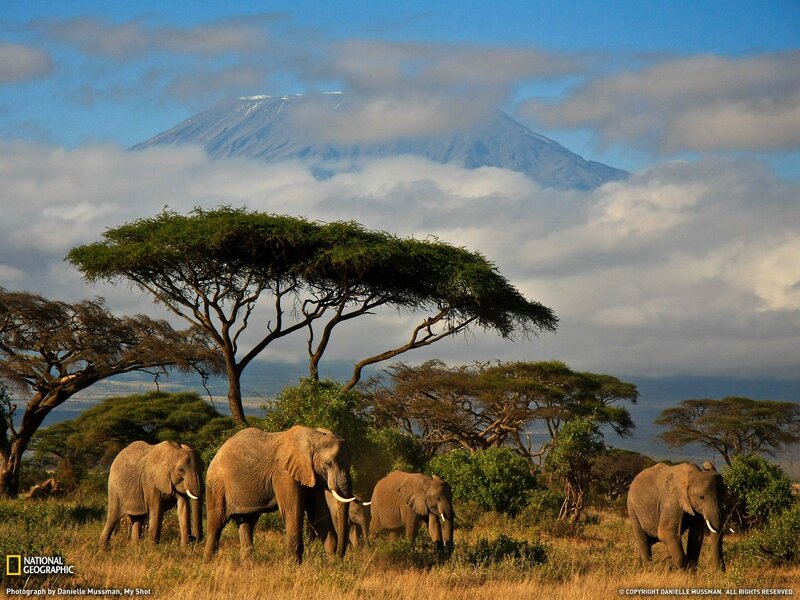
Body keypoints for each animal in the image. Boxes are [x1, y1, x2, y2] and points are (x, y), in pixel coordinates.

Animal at [204, 426, 356, 563]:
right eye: (328, 464)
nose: (340, 556)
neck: (314, 437)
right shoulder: (284, 474)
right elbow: (293, 512)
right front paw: (293, 566)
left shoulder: (313, 474)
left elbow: (318, 515)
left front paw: (332, 564)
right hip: (216, 484)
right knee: (216, 521)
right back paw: (209, 562)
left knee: (247, 523)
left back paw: (248, 565)